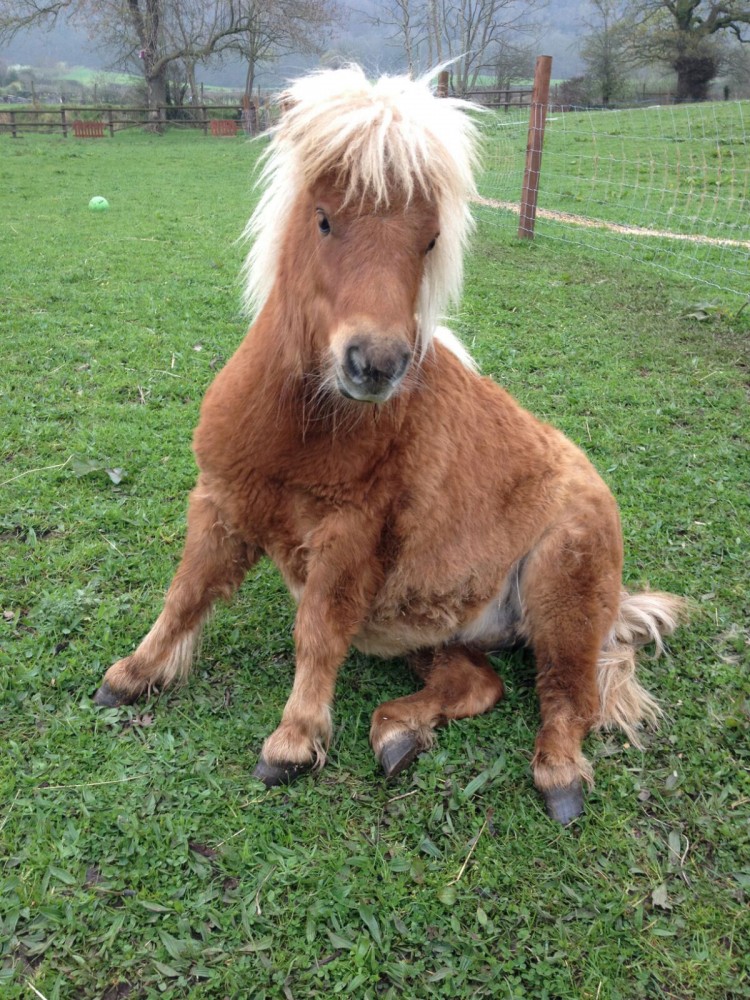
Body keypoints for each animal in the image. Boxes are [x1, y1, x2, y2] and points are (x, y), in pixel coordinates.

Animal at [93, 65, 684, 824]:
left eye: (430, 240)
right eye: (323, 218)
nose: (374, 364)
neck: (303, 429)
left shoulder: (348, 541)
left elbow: (317, 631)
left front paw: (294, 741)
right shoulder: (221, 504)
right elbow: (186, 594)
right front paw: (134, 675)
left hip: (563, 593)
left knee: (567, 696)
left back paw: (559, 779)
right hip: (429, 633)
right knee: (478, 684)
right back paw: (399, 735)